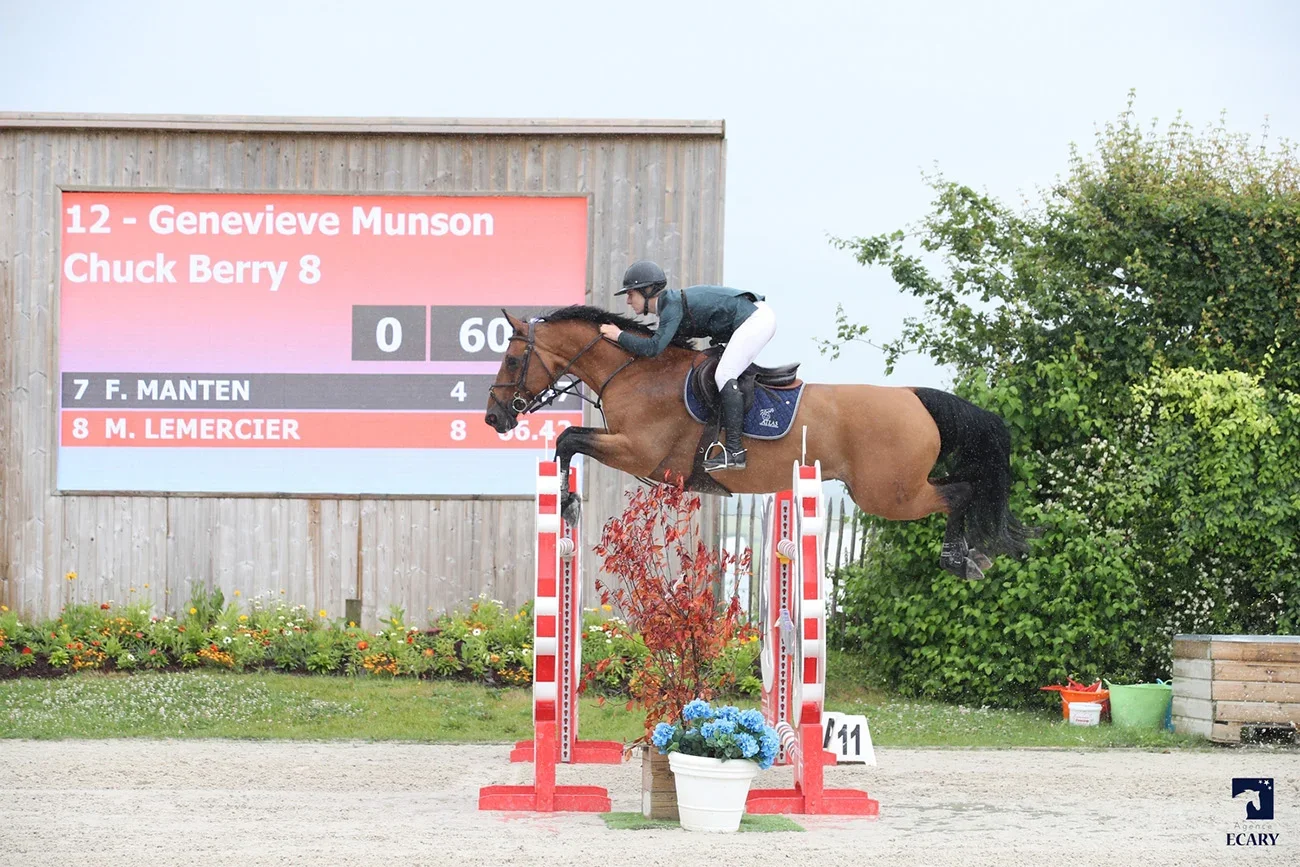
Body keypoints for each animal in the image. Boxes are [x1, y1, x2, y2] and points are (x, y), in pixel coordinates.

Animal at [483, 305, 1034, 579]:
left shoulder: (638, 450)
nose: (493, 417)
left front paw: (567, 503)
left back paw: (960, 559)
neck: (636, 371)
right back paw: (971, 556)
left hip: (890, 494)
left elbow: (568, 438)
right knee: (963, 487)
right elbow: (569, 439)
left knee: (959, 492)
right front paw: (566, 500)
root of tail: (914, 397)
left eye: (510, 360)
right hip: (896, 488)